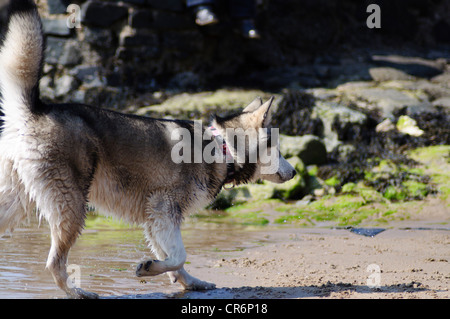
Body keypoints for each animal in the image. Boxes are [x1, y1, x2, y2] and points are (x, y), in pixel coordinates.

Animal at [0, 0, 298, 300]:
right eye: (277, 147)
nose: (295, 172)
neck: (221, 147)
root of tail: (35, 111)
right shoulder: (164, 208)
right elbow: (179, 255)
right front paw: (149, 268)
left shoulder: (157, 219)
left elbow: (175, 260)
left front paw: (190, 282)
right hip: (72, 207)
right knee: (54, 262)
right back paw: (78, 292)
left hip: (19, 201)